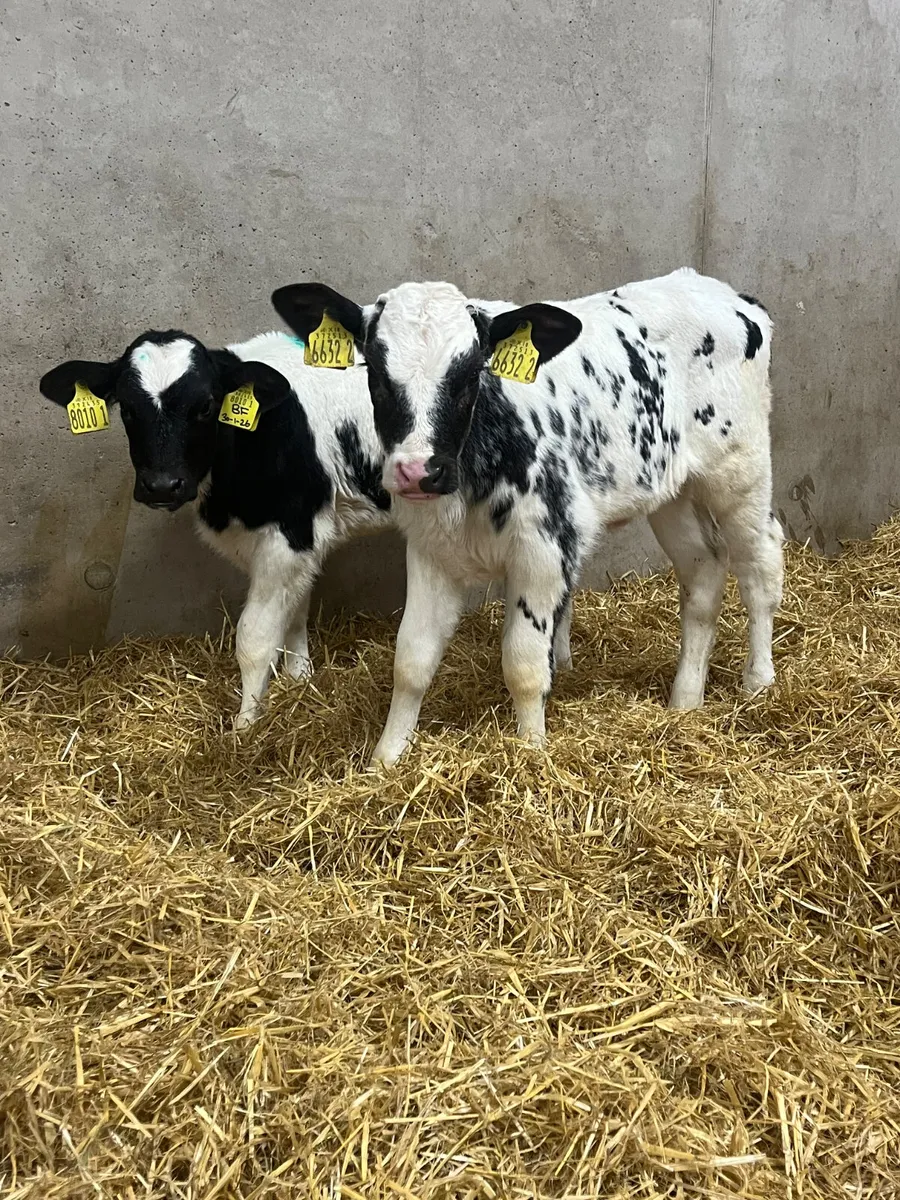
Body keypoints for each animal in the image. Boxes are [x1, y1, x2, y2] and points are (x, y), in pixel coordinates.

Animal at [39, 329, 393, 727]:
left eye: (206, 406)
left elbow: (255, 639)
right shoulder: (304, 539)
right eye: (127, 408)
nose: (162, 485)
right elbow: (294, 613)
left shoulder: (288, 533)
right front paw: (300, 681)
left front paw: (245, 726)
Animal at [271, 268, 783, 766]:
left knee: (760, 564)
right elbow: (412, 660)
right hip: (671, 491)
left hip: (741, 470)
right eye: (375, 372)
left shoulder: (543, 547)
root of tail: (728, 294)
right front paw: (386, 760)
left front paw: (531, 751)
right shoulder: (430, 549)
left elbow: (523, 663)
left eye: (470, 374)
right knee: (704, 574)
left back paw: (758, 682)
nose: (418, 470)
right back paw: (685, 702)